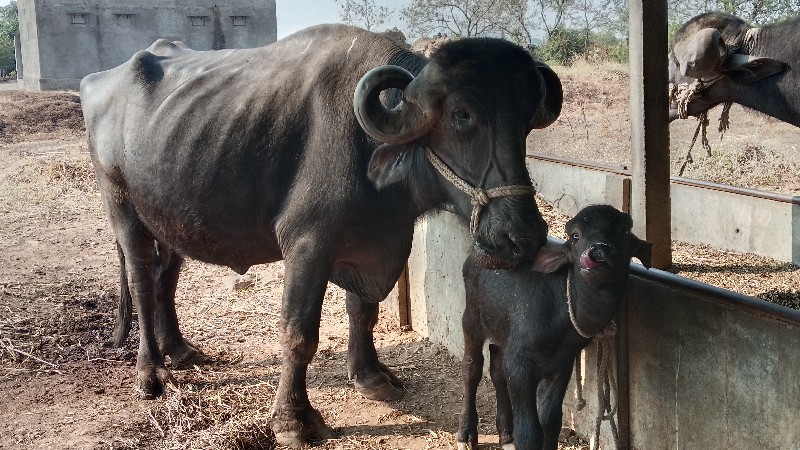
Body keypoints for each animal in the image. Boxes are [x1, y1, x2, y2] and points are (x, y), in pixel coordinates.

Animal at [78, 24, 560, 446]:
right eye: (462, 116)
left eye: (525, 123)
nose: (522, 237)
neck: (367, 150)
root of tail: (97, 81)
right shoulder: (308, 246)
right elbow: (299, 333)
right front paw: (293, 421)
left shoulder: (371, 244)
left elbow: (363, 311)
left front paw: (371, 376)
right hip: (120, 203)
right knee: (141, 279)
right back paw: (150, 372)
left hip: (171, 218)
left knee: (166, 279)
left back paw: (179, 350)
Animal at [456, 206, 648, 450]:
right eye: (575, 236)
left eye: (623, 231)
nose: (599, 252)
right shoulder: (520, 365)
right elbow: (529, 431)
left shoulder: (562, 365)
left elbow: (550, 421)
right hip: (472, 318)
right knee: (471, 367)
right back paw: (466, 434)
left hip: (501, 332)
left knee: (496, 367)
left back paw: (506, 435)